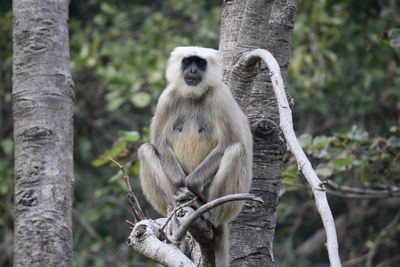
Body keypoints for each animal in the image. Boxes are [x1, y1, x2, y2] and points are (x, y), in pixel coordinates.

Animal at [139, 46, 252, 267]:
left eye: (200, 63)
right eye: (188, 62)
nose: (192, 70)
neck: (193, 96)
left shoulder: (220, 96)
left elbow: (228, 143)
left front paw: (190, 185)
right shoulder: (167, 98)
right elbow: (160, 145)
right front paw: (182, 187)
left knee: (236, 149)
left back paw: (208, 214)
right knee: (146, 149)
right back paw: (175, 209)